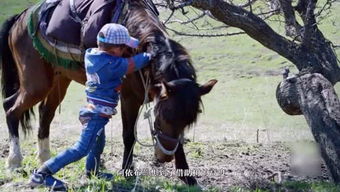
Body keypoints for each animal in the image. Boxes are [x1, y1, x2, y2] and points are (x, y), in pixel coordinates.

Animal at [0, 0, 216, 186]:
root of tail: (20, 17)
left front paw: (187, 176)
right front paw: (128, 171)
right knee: (11, 108)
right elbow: (128, 135)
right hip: (36, 84)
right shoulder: (129, 99)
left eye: (189, 121)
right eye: (163, 117)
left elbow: (179, 140)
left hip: (59, 80)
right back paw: (14, 162)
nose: (165, 157)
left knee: (45, 113)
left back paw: (45, 159)